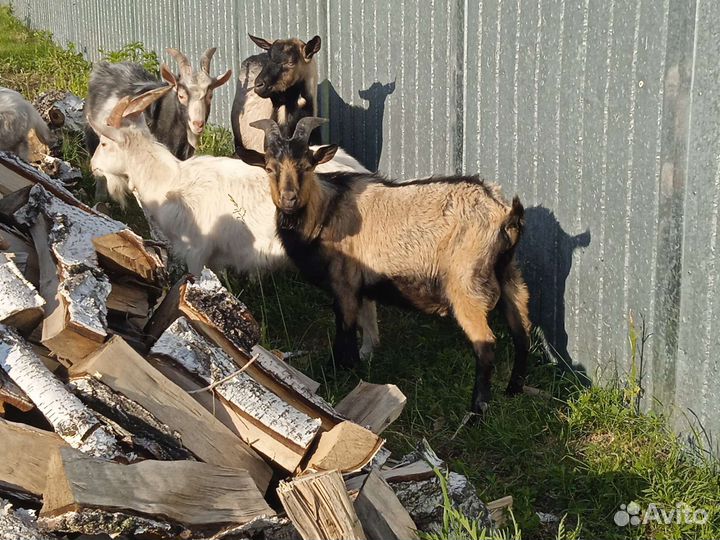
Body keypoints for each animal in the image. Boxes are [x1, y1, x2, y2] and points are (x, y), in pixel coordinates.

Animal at [251, 117, 532, 414]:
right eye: (269, 167)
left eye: (307, 166)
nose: (289, 199)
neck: (326, 212)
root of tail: (504, 215)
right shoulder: (360, 284)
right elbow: (364, 320)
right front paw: (360, 361)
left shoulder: (344, 282)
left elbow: (344, 328)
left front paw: (336, 371)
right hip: (509, 276)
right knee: (522, 335)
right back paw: (513, 391)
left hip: (466, 285)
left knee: (486, 345)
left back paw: (476, 411)